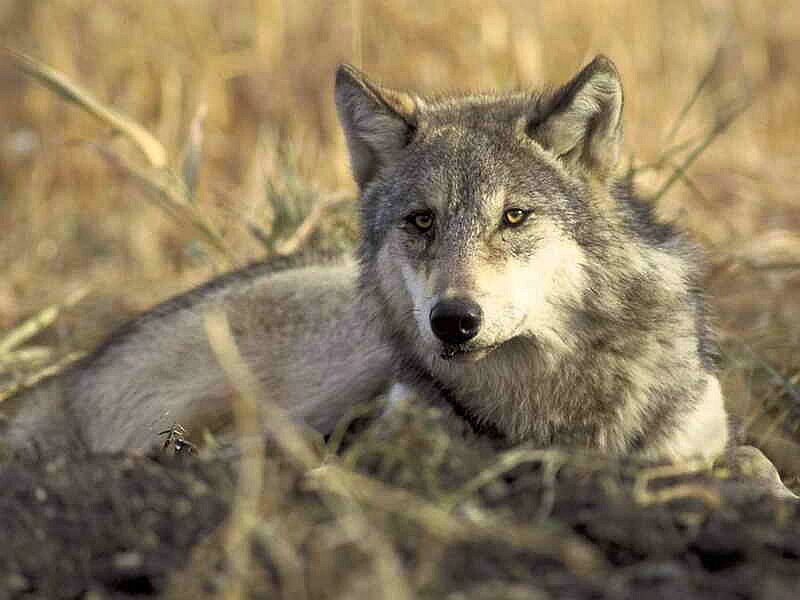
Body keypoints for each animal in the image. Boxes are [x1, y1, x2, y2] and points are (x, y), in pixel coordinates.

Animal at [1, 57, 791, 496]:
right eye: (421, 221)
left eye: (513, 217)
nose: (454, 321)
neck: (551, 401)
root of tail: (70, 373)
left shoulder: (692, 432)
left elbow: (752, 458)